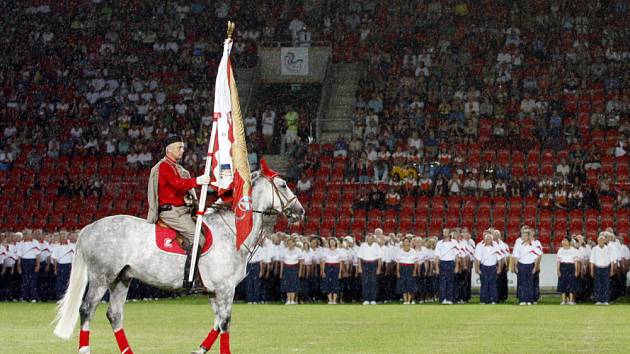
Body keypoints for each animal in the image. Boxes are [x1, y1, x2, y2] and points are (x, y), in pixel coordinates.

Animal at [53, 170, 304, 352]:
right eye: (283, 185)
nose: (300, 211)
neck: (231, 232)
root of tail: (89, 228)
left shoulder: (215, 291)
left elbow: (217, 323)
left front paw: (199, 349)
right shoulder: (225, 289)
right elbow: (225, 323)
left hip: (121, 279)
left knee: (114, 315)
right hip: (101, 278)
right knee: (87, 310)